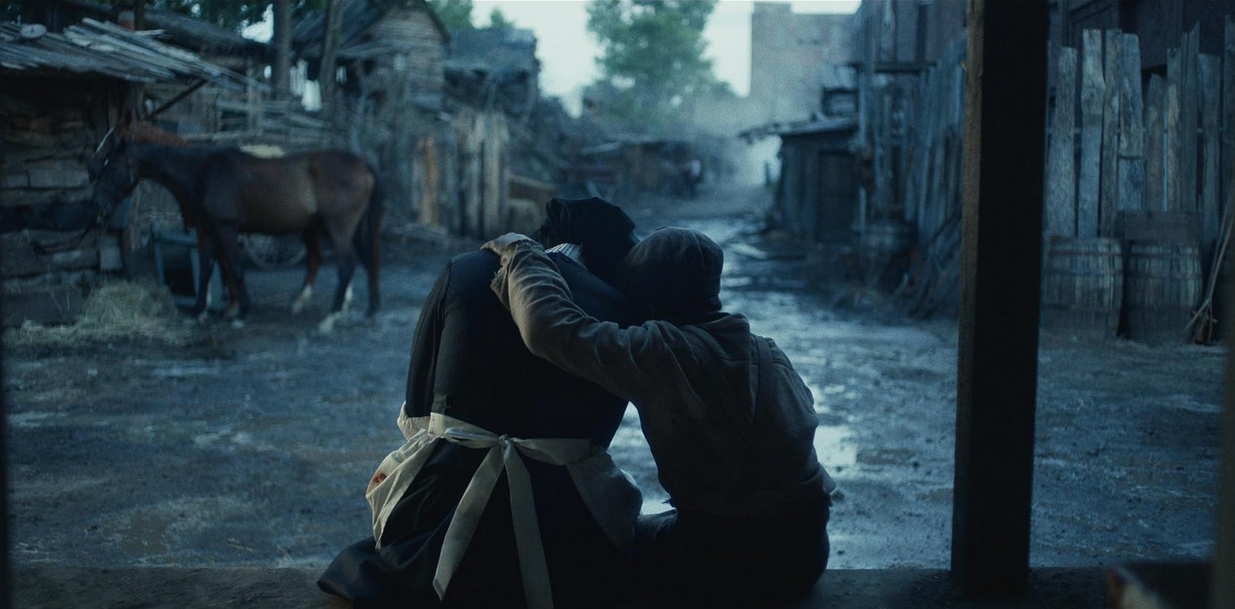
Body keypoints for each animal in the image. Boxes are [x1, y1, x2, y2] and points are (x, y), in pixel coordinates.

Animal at [90, 116, 380, 331]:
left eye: (111, 165)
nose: (99, 205)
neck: (201, 171)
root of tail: (362, 164)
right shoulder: (207, 231)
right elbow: (207, 269)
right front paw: (199, 312)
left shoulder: (226, 229)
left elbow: (234, 267)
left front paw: (240, 311)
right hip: (343, 229)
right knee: (359, 261)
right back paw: (365, 309)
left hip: (338, 228)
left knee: (345, 264)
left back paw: (330, 317)